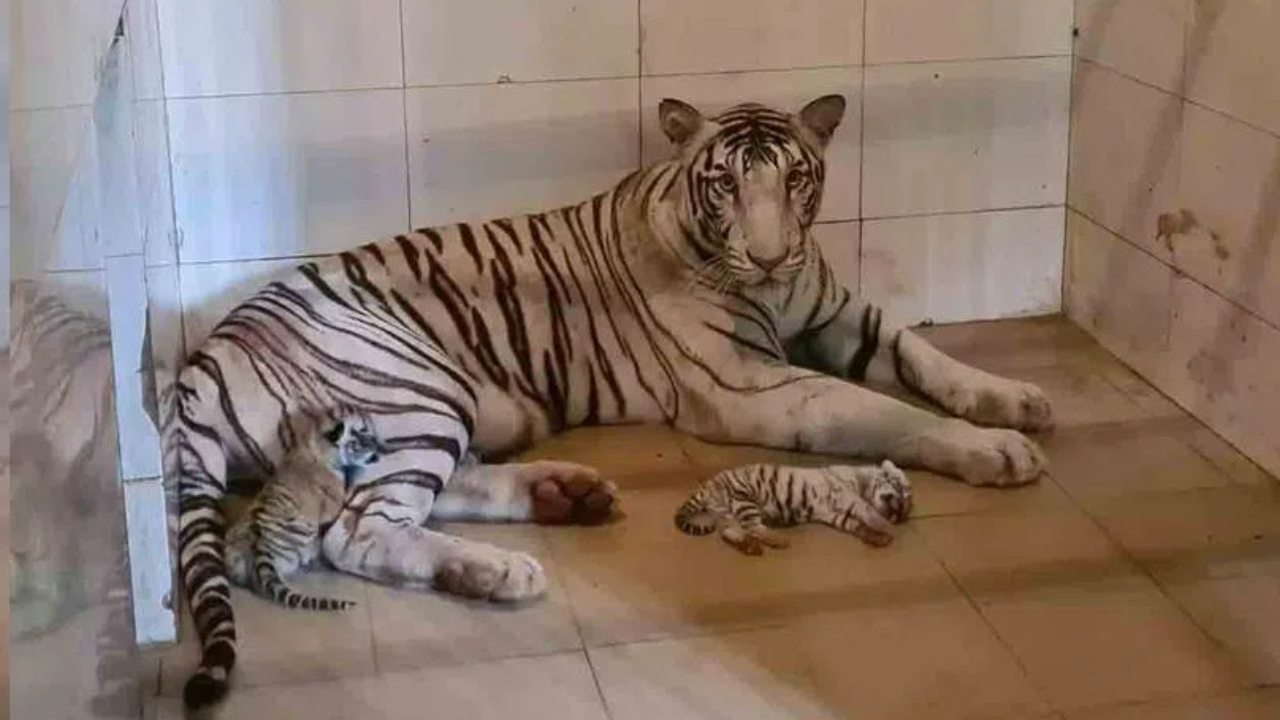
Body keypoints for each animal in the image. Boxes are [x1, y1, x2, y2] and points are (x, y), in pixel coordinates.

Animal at [675, 460, 913, 555]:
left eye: (904, 510)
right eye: (900, 488)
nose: (899, 512)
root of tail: (707, 485)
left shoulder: (832, 514)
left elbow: (856, 525)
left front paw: (879, 538)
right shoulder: (845, 494)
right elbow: (864, 508)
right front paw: (883, 525)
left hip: (729, 512)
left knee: (730, 531)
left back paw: (750, 547)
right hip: (744, 496)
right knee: (754, 527)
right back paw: (778, 541)